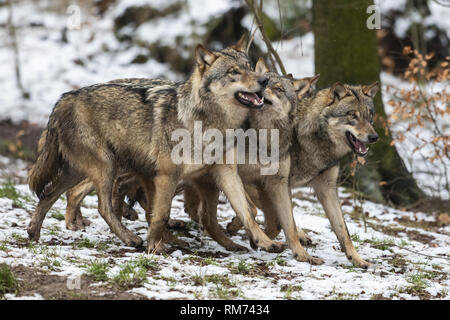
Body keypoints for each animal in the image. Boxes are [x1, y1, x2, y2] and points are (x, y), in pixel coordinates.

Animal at [27, 35, 284, 255]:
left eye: (250, 67)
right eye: (234, 72)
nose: (264, 81)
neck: (210, 124)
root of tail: (65, 97)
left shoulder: (225, 173)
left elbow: (248, 212)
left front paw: (266, 242)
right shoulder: (167, 176)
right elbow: (160, 214)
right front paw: (154, 248)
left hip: (82, 170)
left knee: (50, 193)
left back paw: (33, 233)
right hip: (106, 167)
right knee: (102, 206)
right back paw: (130, 238)